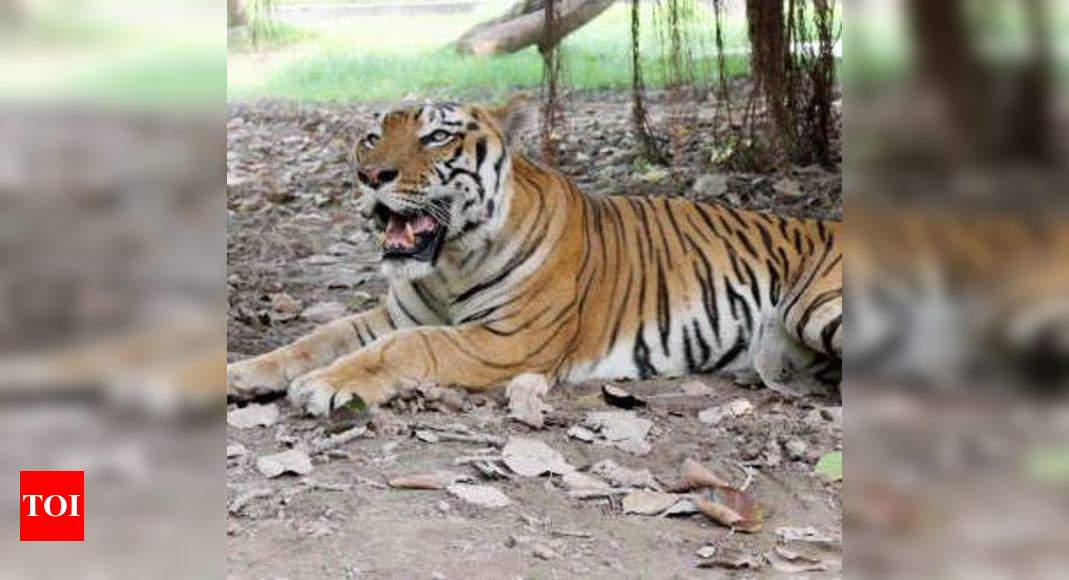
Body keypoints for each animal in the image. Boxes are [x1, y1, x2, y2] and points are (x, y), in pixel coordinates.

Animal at [226, 99, 842, 416]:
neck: (448, 265)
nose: (369, 175)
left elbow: (407, 348)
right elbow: (315, 339)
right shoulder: (395, 315)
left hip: (817, 309)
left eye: (436, 137)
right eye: (371, 137)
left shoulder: (506, 340)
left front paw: (324, 386)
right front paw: (242, 373)